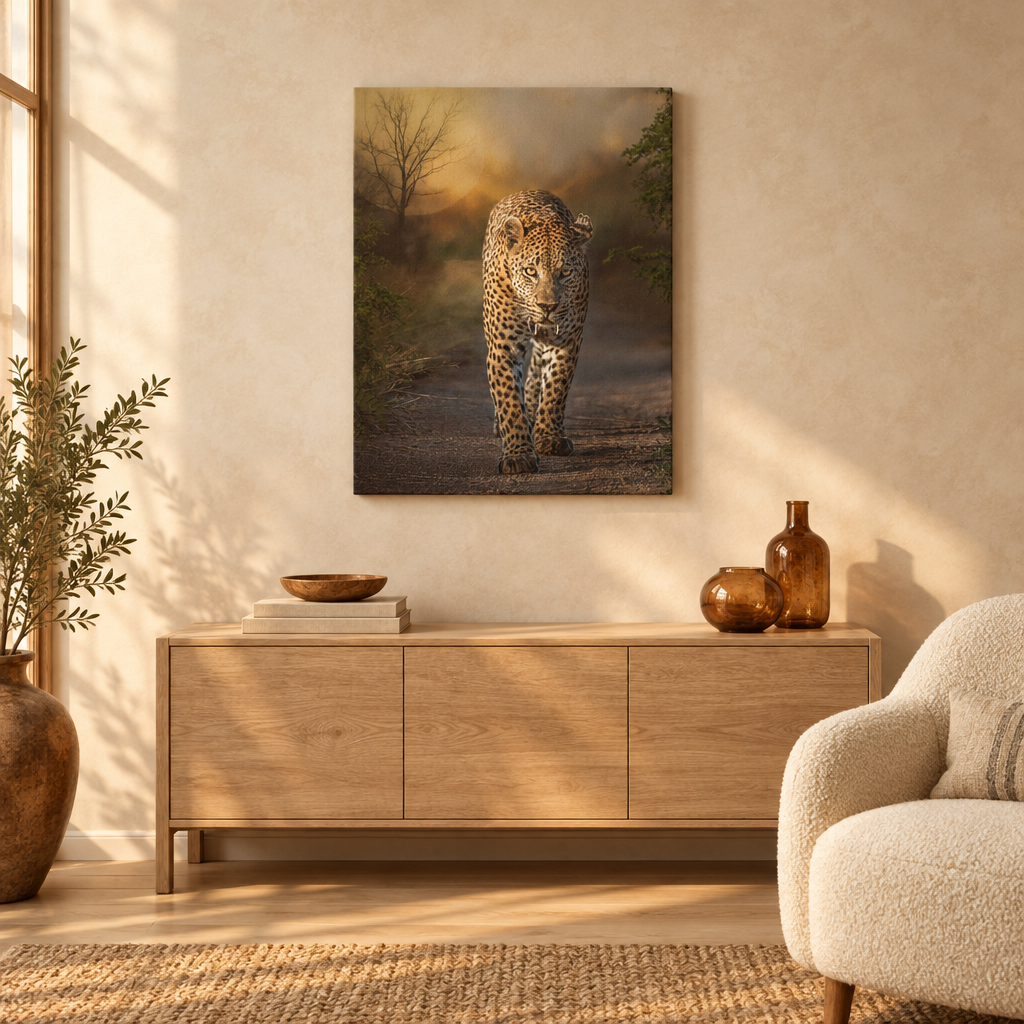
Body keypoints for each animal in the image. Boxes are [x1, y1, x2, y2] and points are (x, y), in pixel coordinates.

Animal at [482, 190, 593, 474]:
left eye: (565, 272)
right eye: (530, 271)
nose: (548, 307)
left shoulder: (566, 339)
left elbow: (555, 388)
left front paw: (550, 437)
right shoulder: (504, 346)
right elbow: (509, 400)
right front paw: (518, 455)